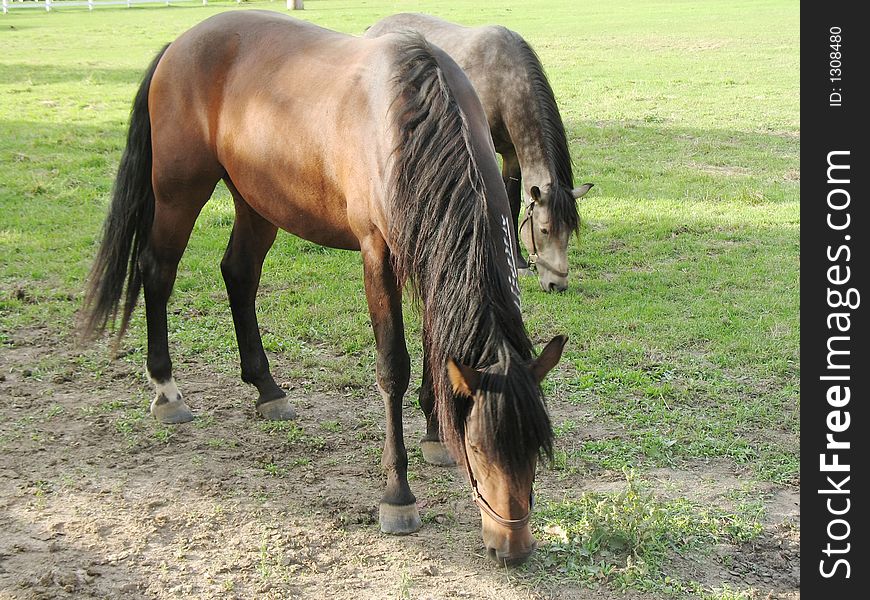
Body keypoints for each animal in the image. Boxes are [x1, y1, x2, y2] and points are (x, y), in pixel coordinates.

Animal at [82, 12, 568, 568]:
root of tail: (179, 44)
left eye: (537, 449)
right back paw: (166, 390)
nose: (513, 548)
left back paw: (267, 388)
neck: (411, 123)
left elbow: (436, 350)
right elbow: (393, 367)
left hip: (257, 200)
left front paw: (433, 434)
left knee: (239, 274)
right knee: (157, 272)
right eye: (482, 450)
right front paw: (397, 496)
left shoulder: (428, 249)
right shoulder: (378, 253)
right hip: (178, 191)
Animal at [364, 14, 596, 292]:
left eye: (570, 230)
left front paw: (518, 260)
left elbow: (513, 200)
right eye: (544, 230)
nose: (557, 284)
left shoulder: (512, 154)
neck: (506, 78)